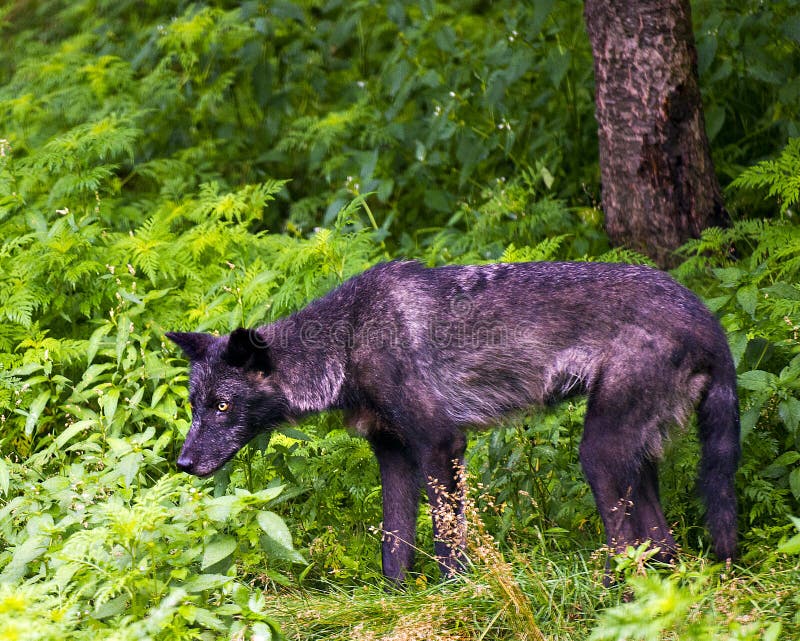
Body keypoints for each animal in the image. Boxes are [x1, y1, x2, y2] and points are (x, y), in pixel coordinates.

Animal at [166, 258, 740, 580]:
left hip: (599, 455)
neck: (349, 339)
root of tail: (708, 319)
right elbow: (394, 546)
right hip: (636, 463)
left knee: (623, 544)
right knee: (662, 547)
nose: (183, 463)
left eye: (223, 406)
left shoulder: (441, 445)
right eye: (195, 405)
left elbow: (446, 540)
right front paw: (396, 600)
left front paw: (458, 593)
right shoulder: (394, 455)